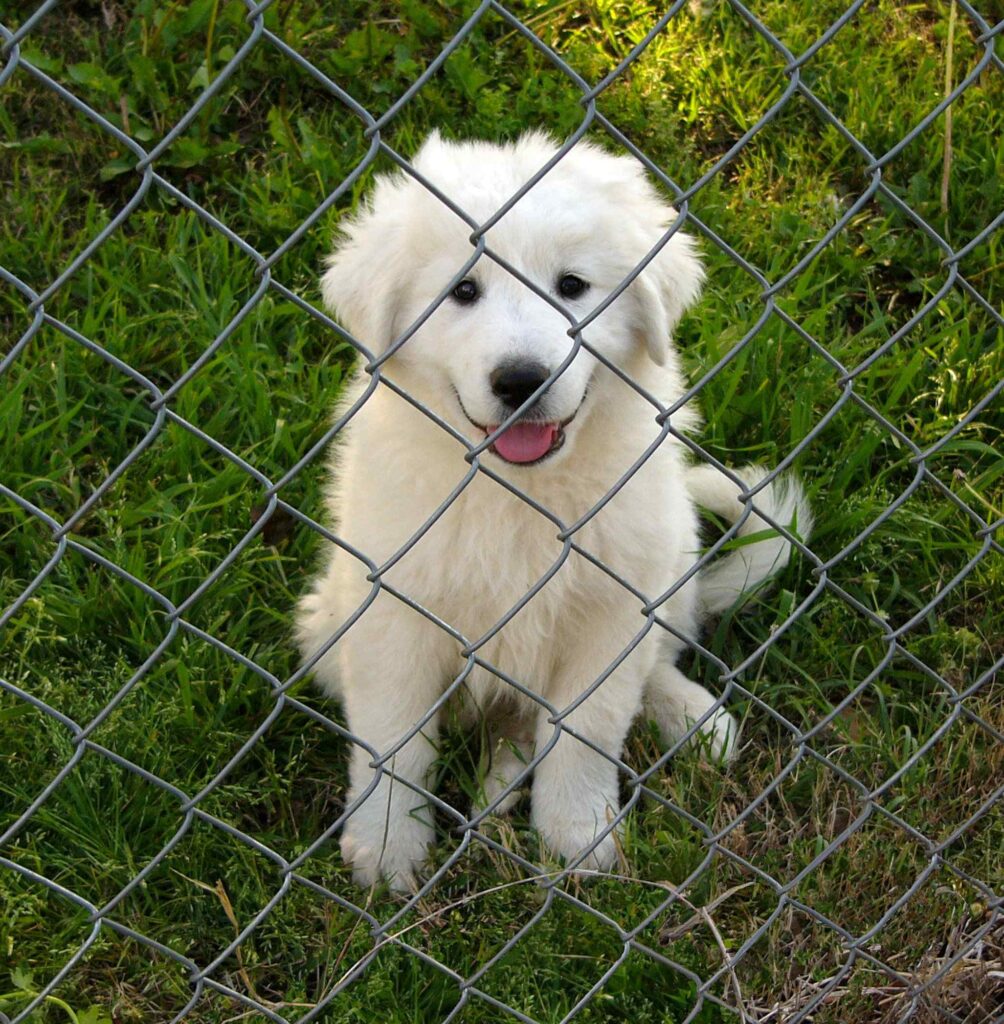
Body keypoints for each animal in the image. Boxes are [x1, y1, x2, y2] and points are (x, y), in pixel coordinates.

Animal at [295, 134, 811, 888]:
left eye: (572, 286)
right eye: (464, 291)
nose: (522, 380)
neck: (523, 493)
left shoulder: (613, 609)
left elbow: (587, 731)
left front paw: (578, 841)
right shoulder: (393, 614)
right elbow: (395, 741)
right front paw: (387, 851)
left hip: (670, 563)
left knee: (653, 663)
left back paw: (692, 718)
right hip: (325, 624)